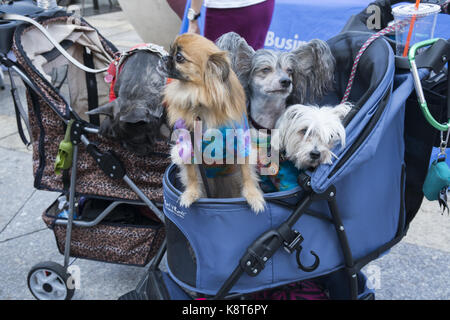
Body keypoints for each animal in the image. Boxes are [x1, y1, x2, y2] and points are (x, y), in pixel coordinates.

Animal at [162, 33, 266, 212]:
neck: (199, 102)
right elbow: (191, 175)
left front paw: (253, 197)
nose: (164, 57)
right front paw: (191, 194)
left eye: (179, 57)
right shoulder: (187, 146)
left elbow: (247, 173)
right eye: (170, 50)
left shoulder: (241, 144)